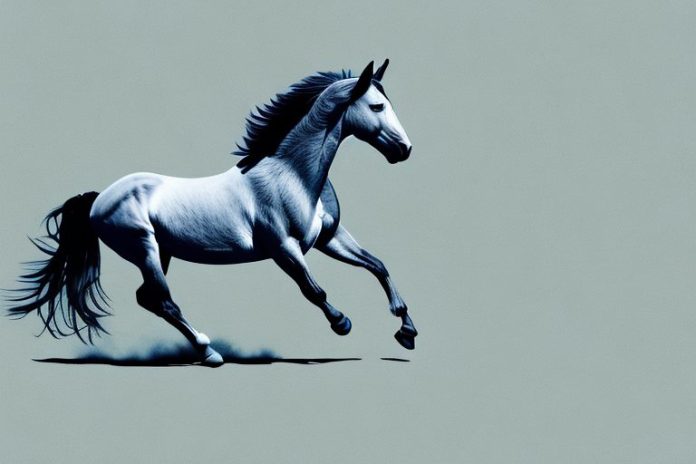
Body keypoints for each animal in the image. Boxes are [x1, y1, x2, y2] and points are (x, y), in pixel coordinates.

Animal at [7, 60, 418, 366]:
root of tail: (97, 199)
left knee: (149, 299)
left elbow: (378, 266)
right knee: (164, 300)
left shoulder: (328, 238)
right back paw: (210, 353)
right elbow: (313, 290)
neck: (292, 174)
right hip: (144, 249)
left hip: (162, 252)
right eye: (377, 107)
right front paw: (342, 323)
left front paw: (407, 331)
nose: (405, 150)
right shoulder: (283, 248)